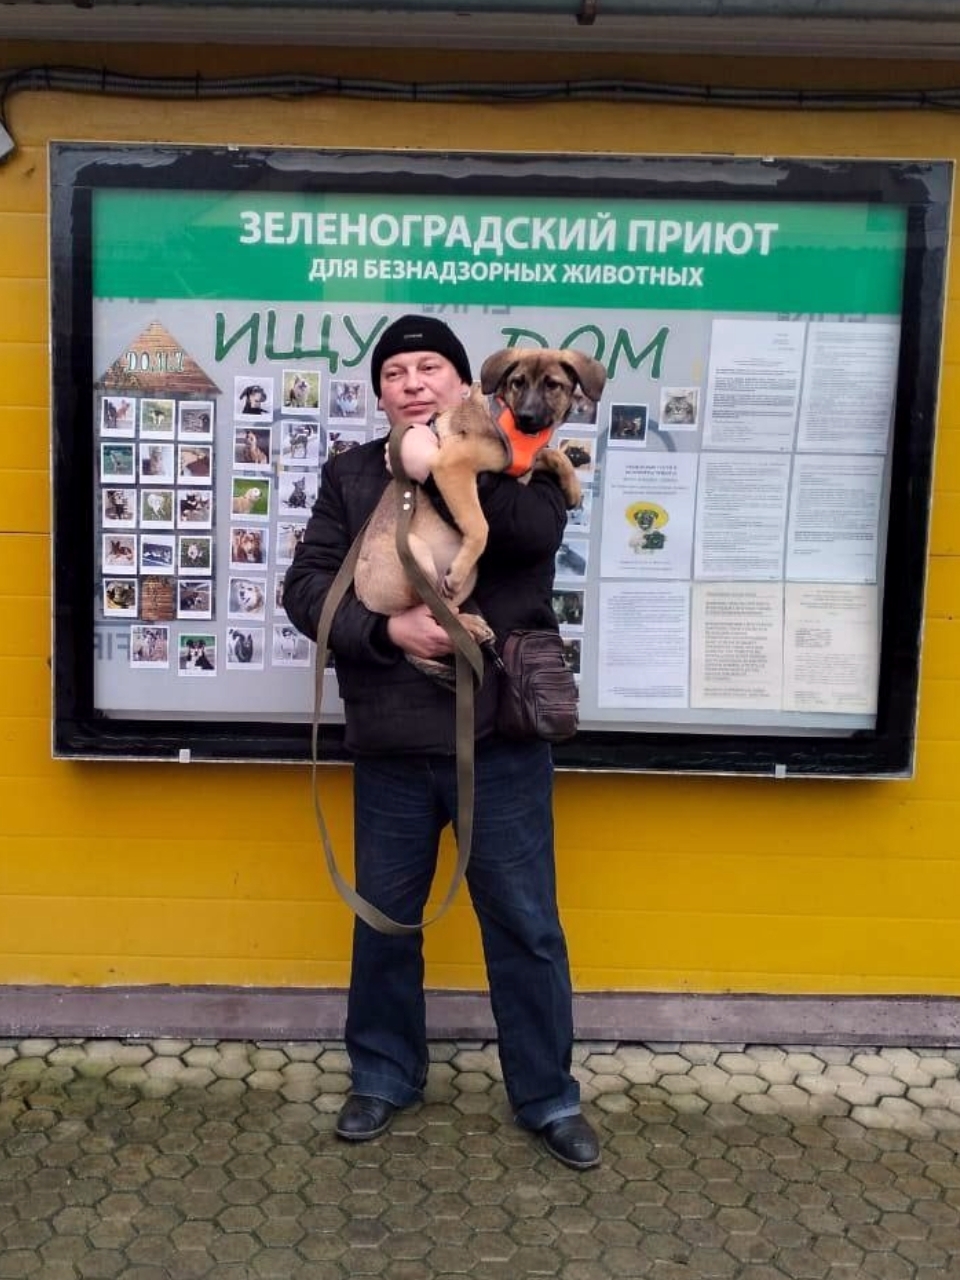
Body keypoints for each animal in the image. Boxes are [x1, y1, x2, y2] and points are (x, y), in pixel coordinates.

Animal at [354, 347, 606, 666]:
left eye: (553, 385)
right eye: (517, 382)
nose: (527, 417)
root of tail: (367, 600)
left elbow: (552, 455)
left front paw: (572, 489)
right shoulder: (452, 466)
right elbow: (479, 525)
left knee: (443, 609)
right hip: (415, 552)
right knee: (432, 609)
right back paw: (467, 618)